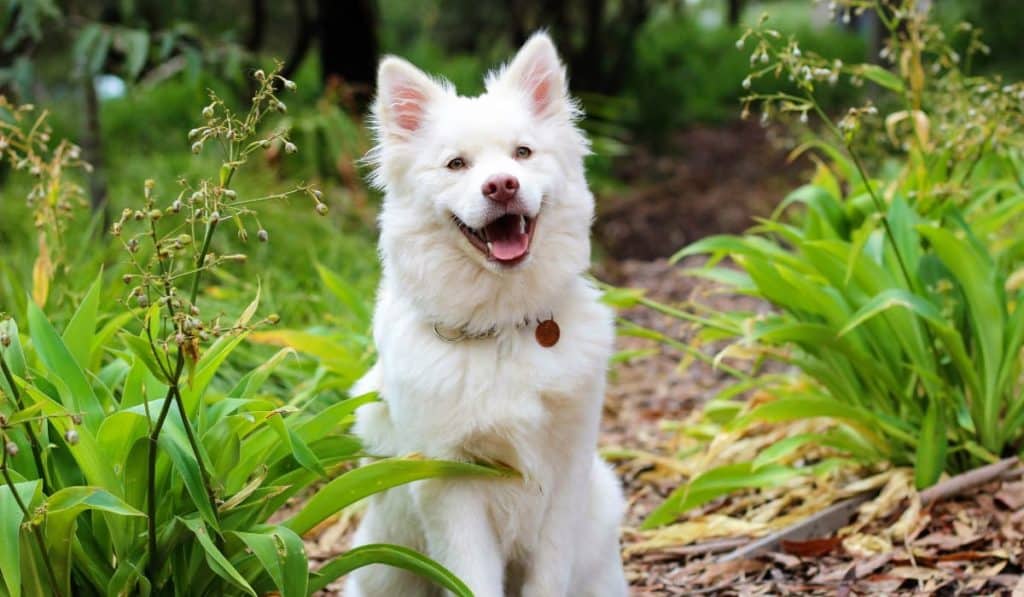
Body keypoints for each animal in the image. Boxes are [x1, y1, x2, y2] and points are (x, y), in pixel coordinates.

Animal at [348, 32, 626, 597]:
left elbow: (549, 577)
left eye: (522, 153)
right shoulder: (451, 486)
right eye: (457, 164)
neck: (503, 328)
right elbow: (472, 577)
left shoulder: (565, 475)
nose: (502, 185)